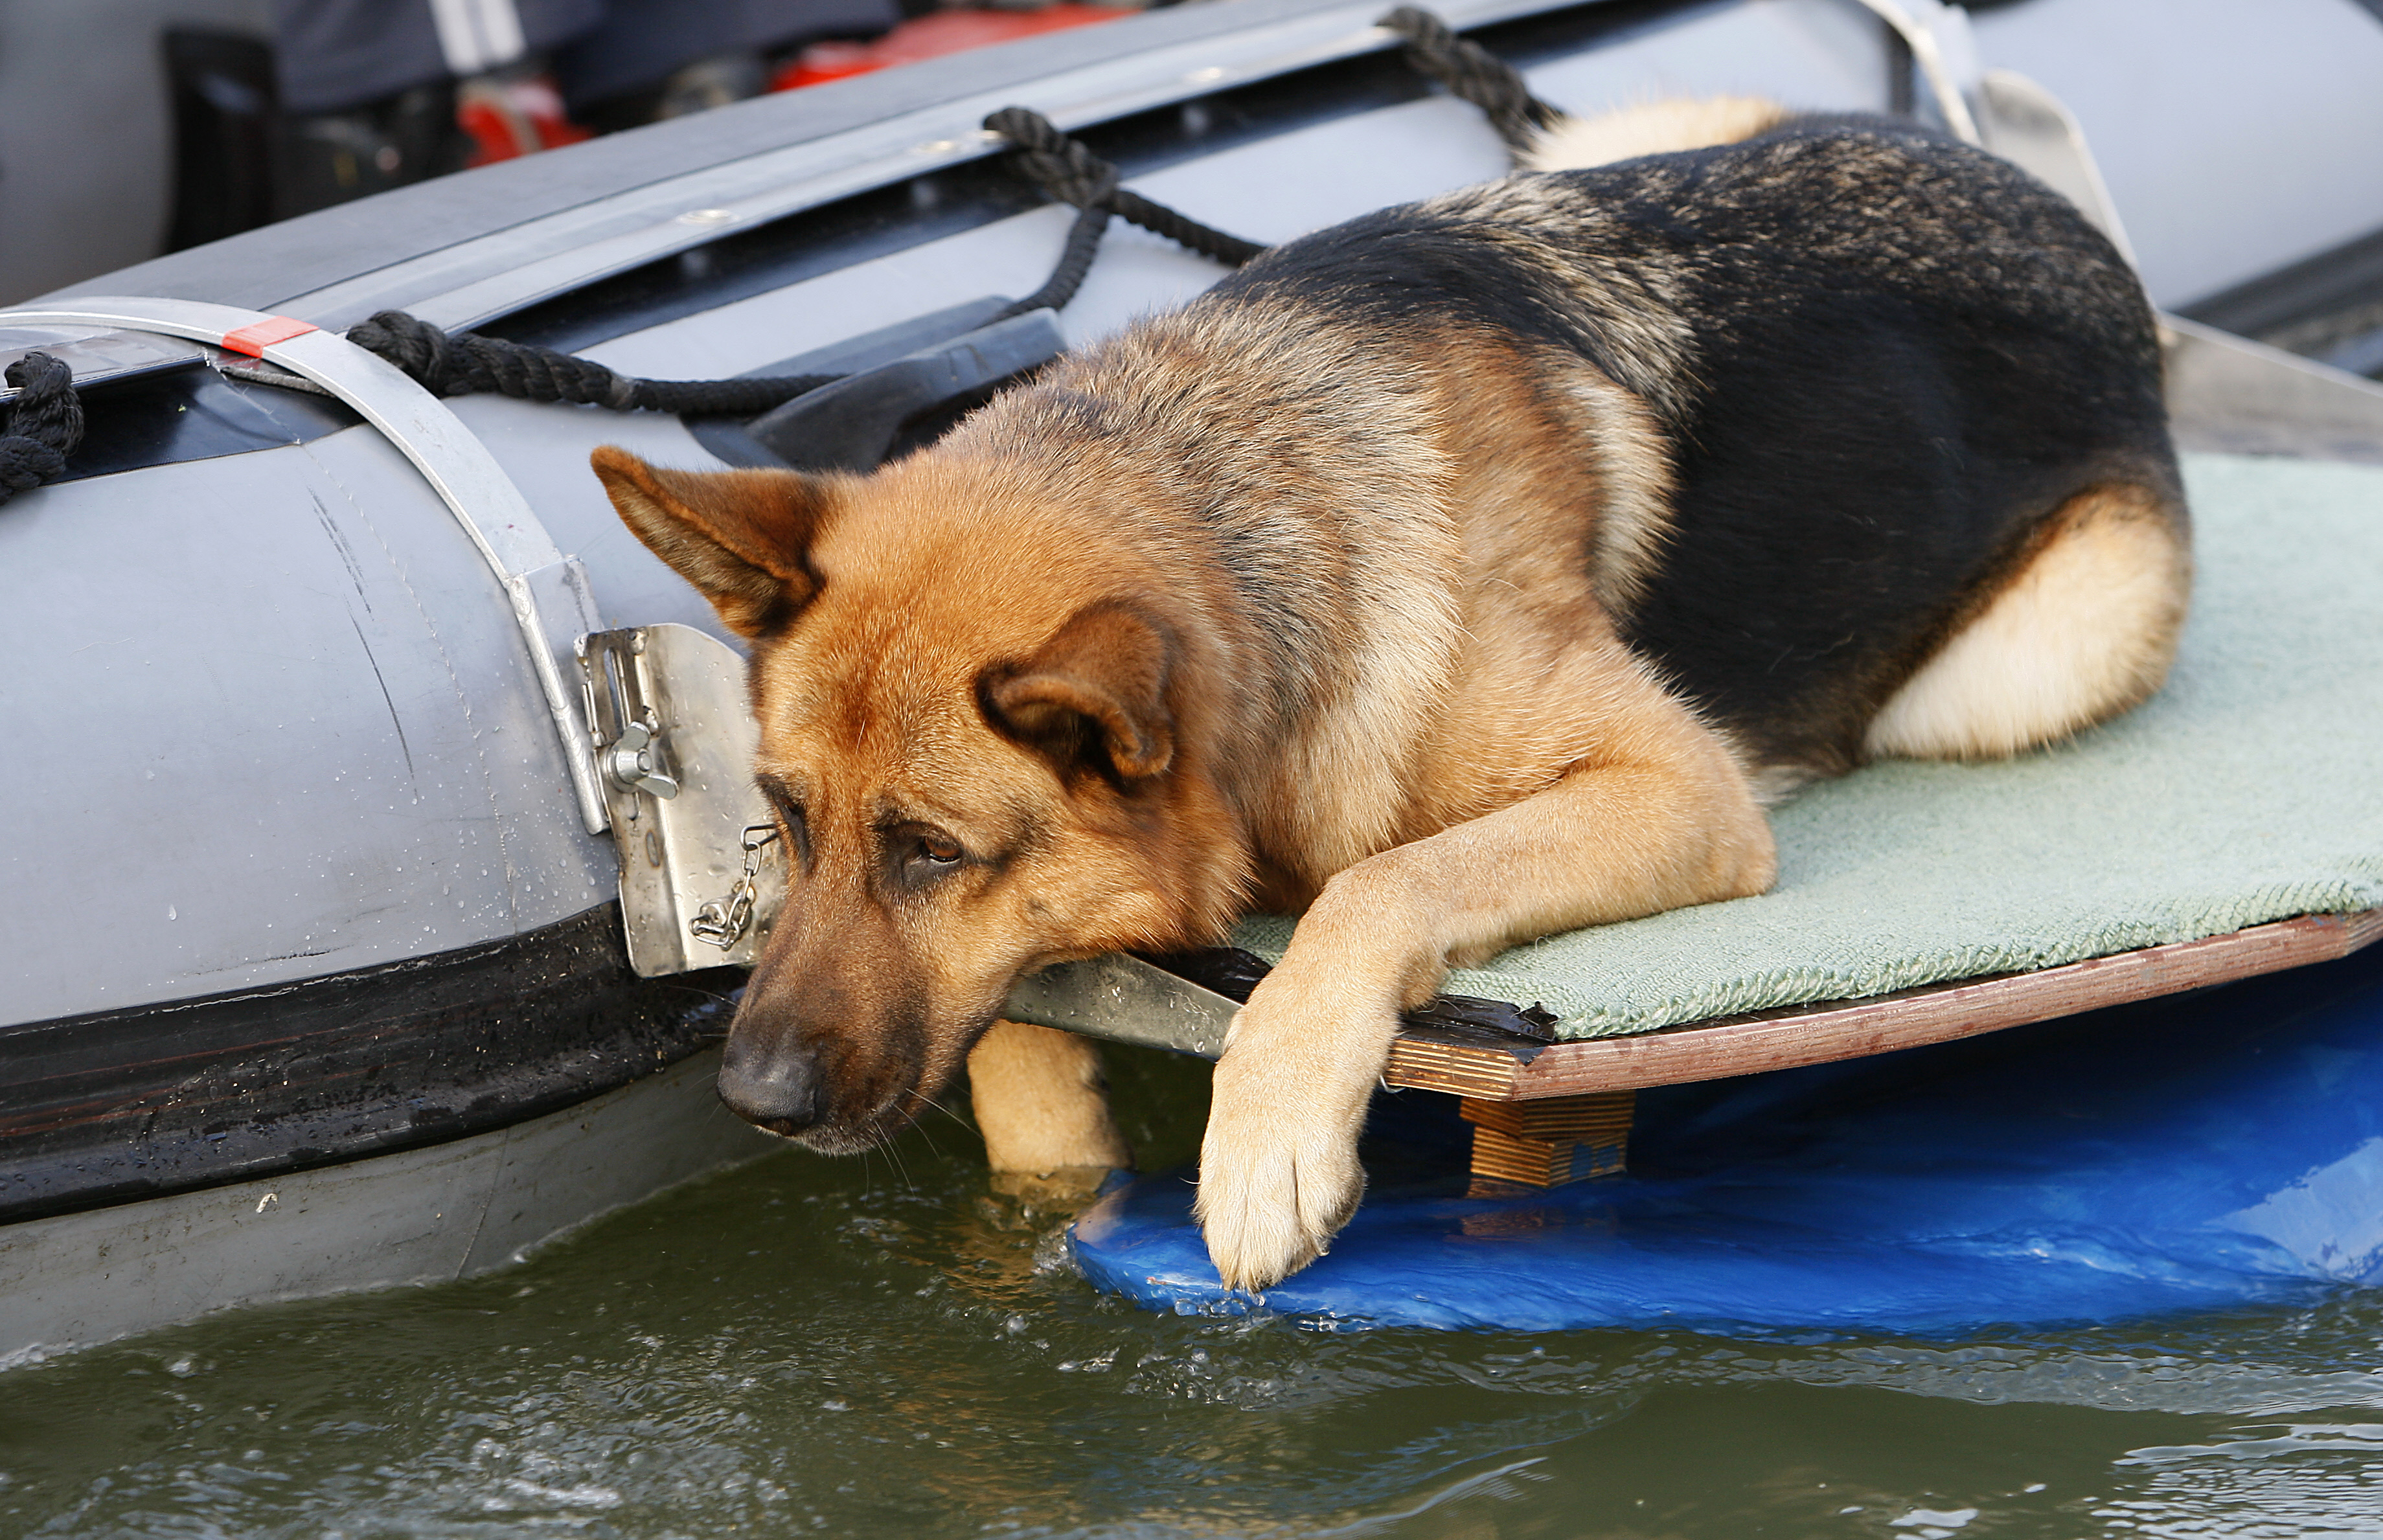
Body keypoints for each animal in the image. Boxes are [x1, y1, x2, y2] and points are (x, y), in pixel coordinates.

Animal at [586, 99, 2182, 1287]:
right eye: (788, 819)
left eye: (929, 851)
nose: (752, 1101)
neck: (1240, 501)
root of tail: (2048, 209)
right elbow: (1014, 1032)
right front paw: (1055, 1162)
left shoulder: (1676, 786)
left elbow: (1379, 883)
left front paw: (1265, 1132)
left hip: (2024, 663)